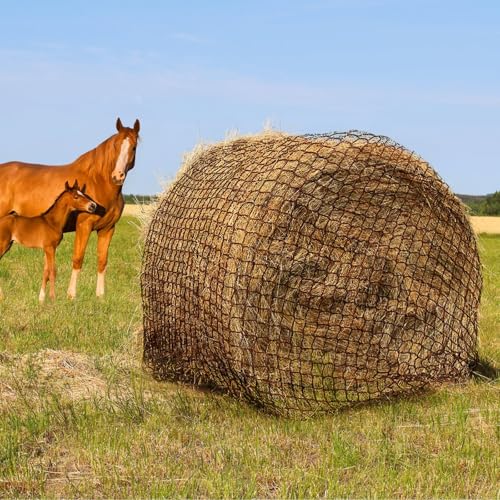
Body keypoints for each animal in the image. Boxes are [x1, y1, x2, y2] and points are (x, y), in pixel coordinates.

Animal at [0, 118, 140, 296]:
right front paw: (71, 295)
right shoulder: (84, 226)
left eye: (133, 147)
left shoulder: (108, 229)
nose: (118, 176)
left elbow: (102, 261)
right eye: (115, 145)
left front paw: (100, 296)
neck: (99, 182)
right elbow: (78, 258)